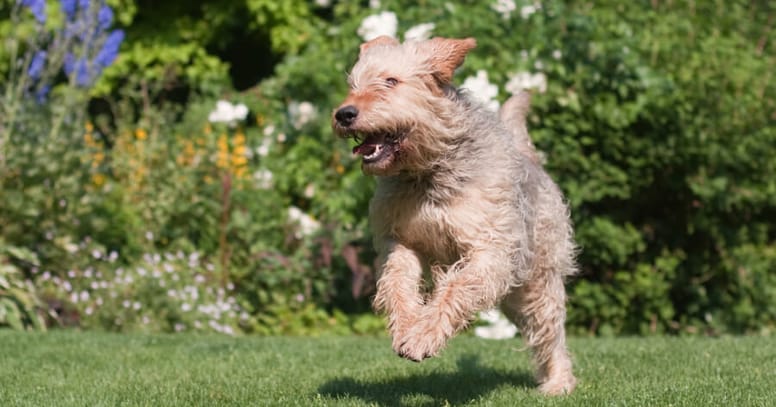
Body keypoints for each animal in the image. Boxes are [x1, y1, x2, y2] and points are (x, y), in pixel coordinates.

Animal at [330, 37, 580, 396]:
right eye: (354, 85)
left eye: (391, 81)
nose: (344, 114)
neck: (429, 173)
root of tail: (529, 157)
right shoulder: (402, 241)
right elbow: (397, 283)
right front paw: (407, 326)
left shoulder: (490, 250)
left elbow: (456, 288)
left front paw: (422, 337)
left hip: (538, 280)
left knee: (550, 330)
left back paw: (558, 382)